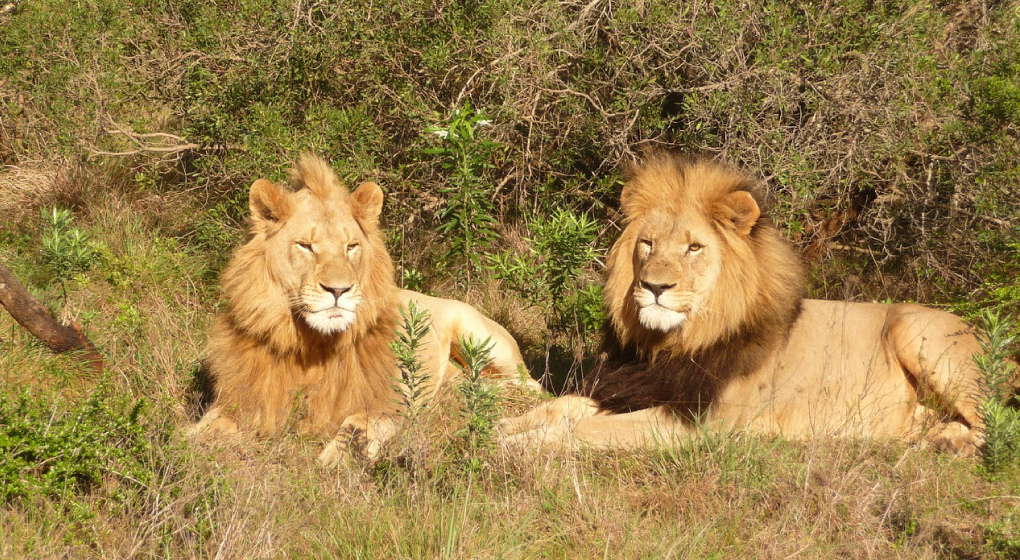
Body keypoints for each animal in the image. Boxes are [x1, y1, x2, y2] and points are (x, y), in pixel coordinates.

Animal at [187, 153, 537, 466]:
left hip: (478, 337)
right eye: (305, 246)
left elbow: (356, 421)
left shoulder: (393, 404)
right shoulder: (243, 401)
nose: (338, 290)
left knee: (529, 384)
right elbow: (200, 429)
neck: (311, 346)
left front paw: (342, 457)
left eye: (351, 247)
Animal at [499, 153, 992, 455]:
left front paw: (521, 445)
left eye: (693, 248)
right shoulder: (629, 388)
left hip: (917, 332)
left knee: (992, 426)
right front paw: (499, 426)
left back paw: (946, 445)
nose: (654, 286)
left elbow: (583, 429)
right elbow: (558, 408)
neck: (671, 344)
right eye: (647, 243)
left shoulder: (691, 424)